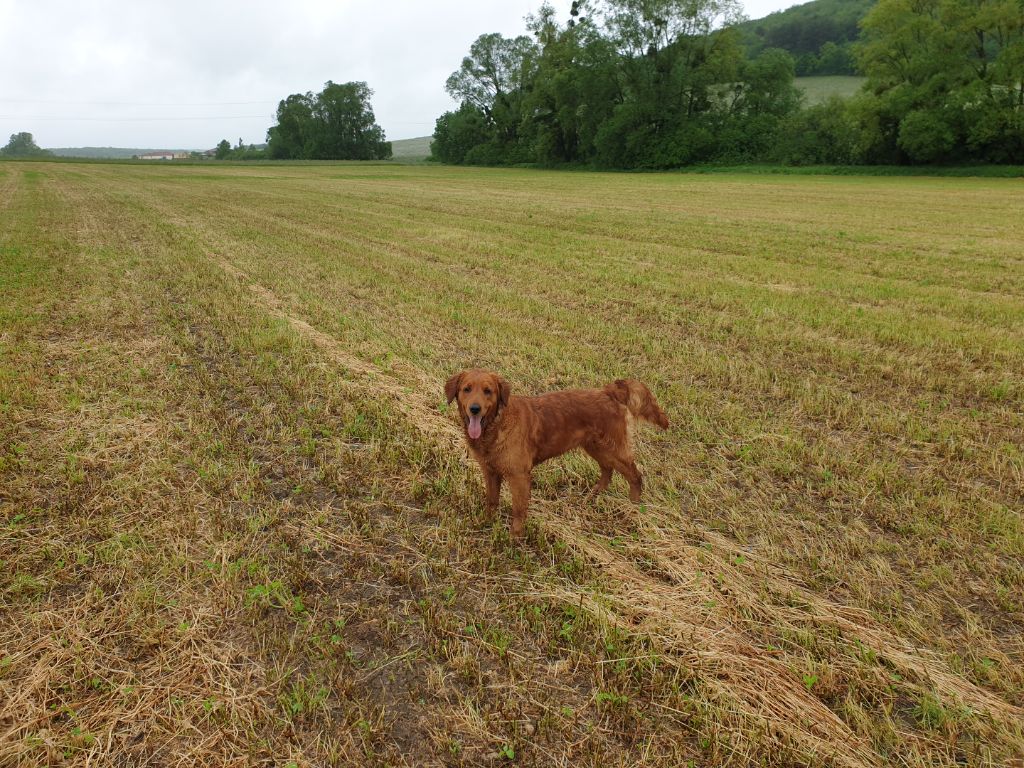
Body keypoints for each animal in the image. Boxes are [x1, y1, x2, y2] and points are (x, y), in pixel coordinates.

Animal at [444, 370, 667, 536]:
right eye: (466, 389)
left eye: (488, 391)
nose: (474, 409)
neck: (497, 424)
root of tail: (608, 391)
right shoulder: (490, 471)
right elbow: (491, 500)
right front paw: (486, 521)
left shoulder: (519, 476)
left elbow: (518, 510)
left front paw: (514, 537)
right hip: (596, 447)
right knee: (607, 471)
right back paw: (592, 496)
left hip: (613, 449)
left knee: (635, 475)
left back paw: (633, 509)